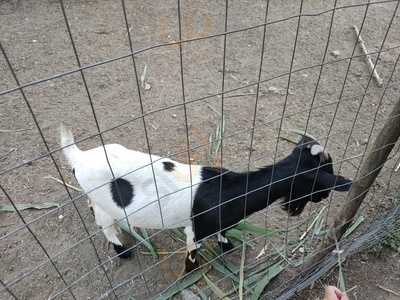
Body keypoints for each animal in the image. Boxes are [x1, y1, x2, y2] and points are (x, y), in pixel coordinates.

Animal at [58, 125, 350, 274]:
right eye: (321, 179)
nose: (325, 196)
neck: (229, 191)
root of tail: (79, 157)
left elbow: (223, 233)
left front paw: (227, 246)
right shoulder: (195, 229)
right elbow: (192, 252)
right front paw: (191, 271)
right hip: (104, 204)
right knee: (105, 226)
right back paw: (123, 251)